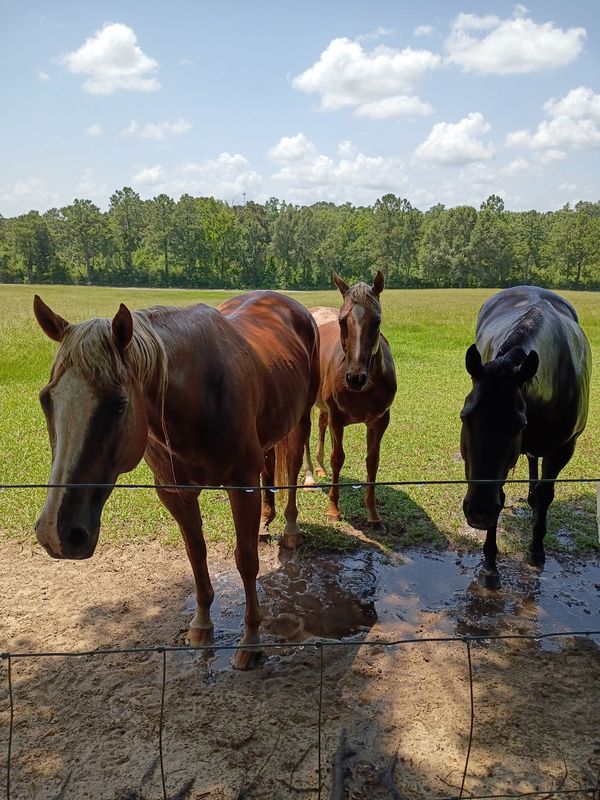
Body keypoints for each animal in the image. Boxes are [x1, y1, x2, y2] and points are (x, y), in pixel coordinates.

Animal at [33, 291, 320, 670]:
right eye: (46, 400)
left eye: (119, 404)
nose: (57, 532)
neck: (199, 396)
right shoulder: (174, 493)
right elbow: (195, 553)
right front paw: (201, 624)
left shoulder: (241, 486)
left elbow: (245, 561)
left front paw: (251, 641)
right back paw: (264, 523)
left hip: (301, 420)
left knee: (293, 469)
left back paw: (289, 529)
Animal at [303, 271, 397, 530]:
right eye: (342, 321)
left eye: (377, 321)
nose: (355, 378)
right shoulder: (337, 418)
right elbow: (338, 458)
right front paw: (333, 510)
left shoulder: (380, 421)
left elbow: (372, 461)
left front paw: (373, 514)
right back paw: (309, 476)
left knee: (321, 426)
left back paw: (319, 468)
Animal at [460, 286, 591, 589]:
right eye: (465, 417)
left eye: (519, 424)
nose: (480, 513)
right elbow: (501, 494)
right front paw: (490, 565)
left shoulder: (563, 450)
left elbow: (545, 494)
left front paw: (536, 551)